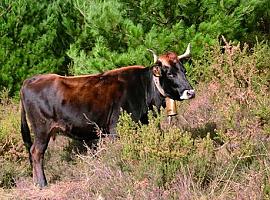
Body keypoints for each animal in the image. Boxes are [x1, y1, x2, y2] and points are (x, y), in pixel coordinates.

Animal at [20, 44, 194, 188]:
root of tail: (30, 80)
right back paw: (42, 183)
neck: (144, 88)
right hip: (41, 130)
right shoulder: (115, 129)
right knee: (36, 152)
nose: (190, 92)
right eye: (170, 74)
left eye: (184, 71)